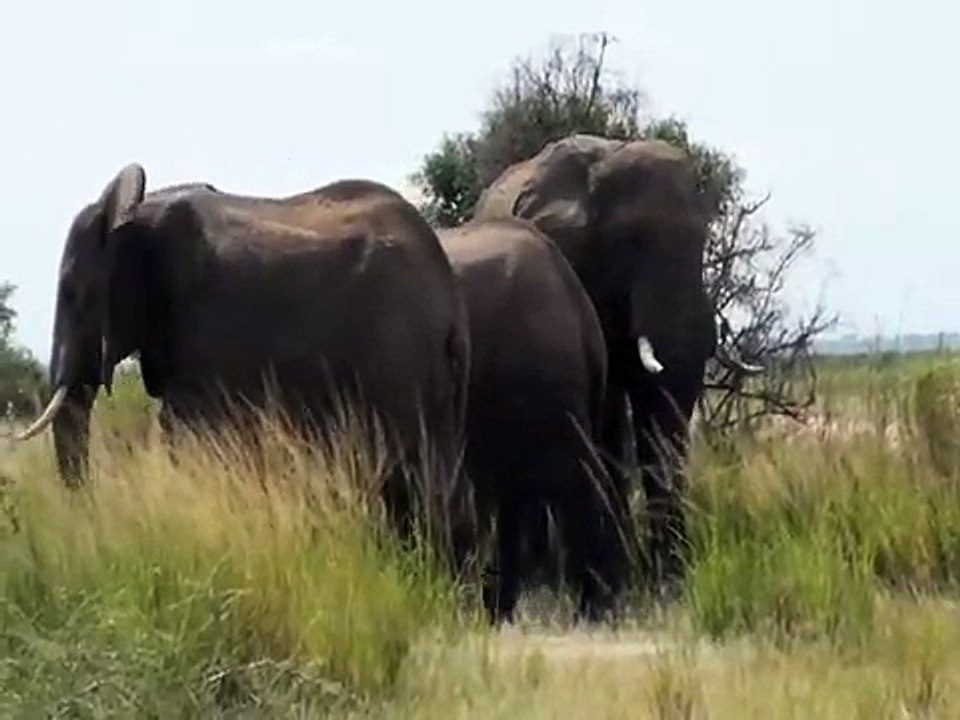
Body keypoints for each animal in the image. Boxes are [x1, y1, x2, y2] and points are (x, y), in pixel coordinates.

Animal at [18, 164, 473, 561]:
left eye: (73, 292)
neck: (135, 214)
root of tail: (449, 297)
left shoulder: (205, 330)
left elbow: (184, 429)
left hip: (394, 353)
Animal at [472, 134, 762, 592]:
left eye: (702, 242)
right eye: (632, 241)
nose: (673, 578)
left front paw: (665, 578)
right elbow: (609, 413)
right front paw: (623, 573)